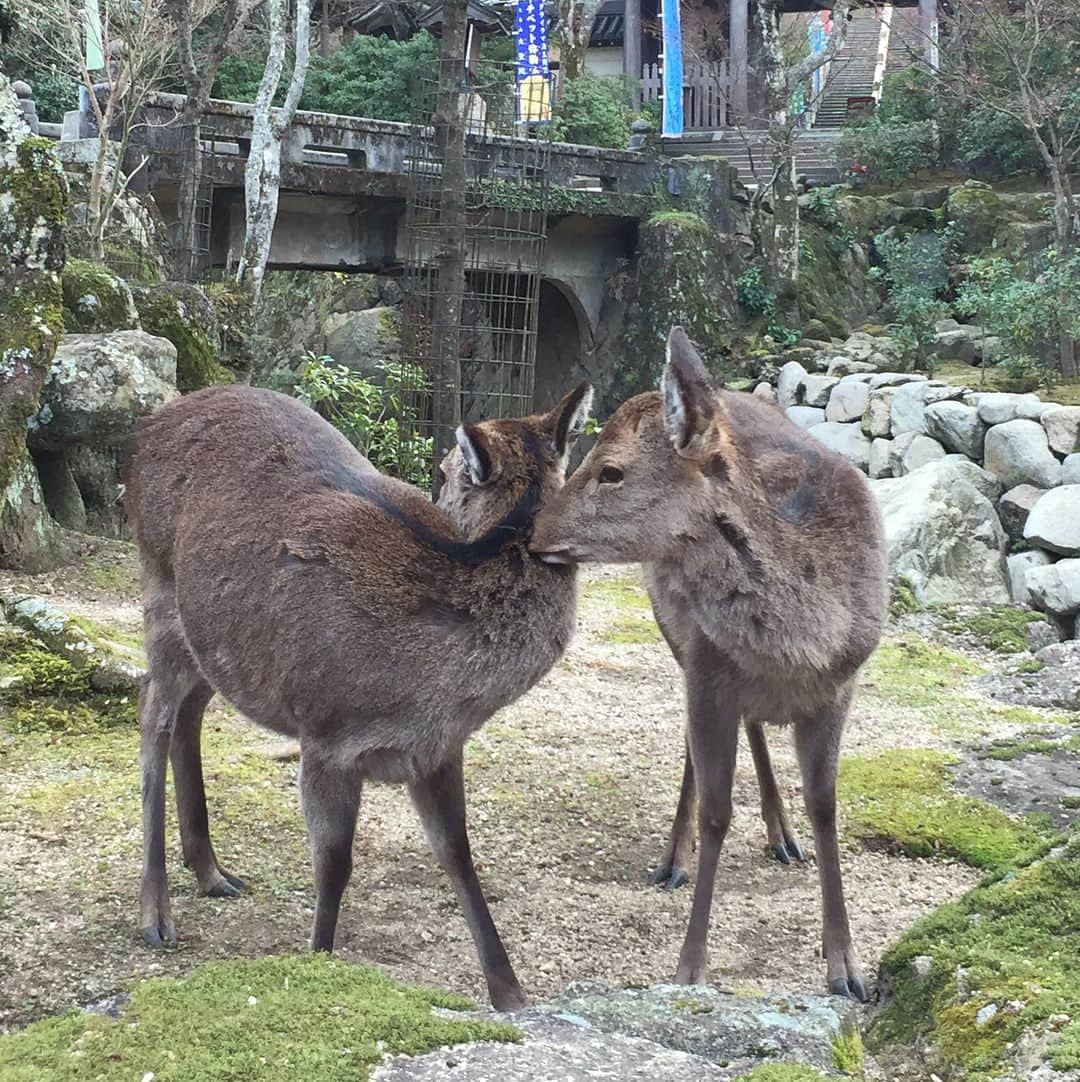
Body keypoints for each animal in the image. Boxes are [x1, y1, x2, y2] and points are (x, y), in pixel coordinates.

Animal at [127, 376, 601, 1008]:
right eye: (443, 467)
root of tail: (147, 427)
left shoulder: (437, 750)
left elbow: (457, 853)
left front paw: (511, 996)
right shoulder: (325, 734)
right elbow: (333, 866)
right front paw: (319, 964)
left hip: (212, 637)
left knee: (190, 713)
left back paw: (211, 872)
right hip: (158, 588)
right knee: (151, 715)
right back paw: (156, 914)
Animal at [532, 324, 887, 999]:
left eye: (611, 470)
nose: (534, 534)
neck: (803, 642)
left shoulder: (843, 685)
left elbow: (826, 805)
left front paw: (847, 967)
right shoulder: (707, 668)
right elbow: (717, 810)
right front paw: (690, 967)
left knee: (754, 729)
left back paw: (782, 836)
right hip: (676, 636)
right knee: (696, 747)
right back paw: (675, 857)